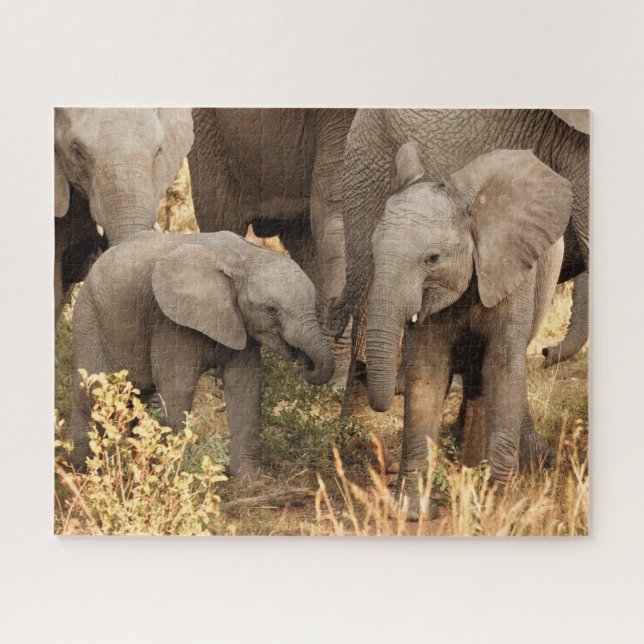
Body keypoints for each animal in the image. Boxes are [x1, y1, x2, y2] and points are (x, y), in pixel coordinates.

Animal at [68, 231, 334, 477]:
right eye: (271, 309)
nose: (305, 361)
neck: (243, 258)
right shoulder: (169, 320)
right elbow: (179, 388)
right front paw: (173, 473)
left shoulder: (240, 322)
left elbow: (245, 386)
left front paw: (249, 480)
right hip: (88, 319)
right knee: (93, 393)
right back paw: (84, 470)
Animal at [337, 143, 572, 496]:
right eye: (374, 255)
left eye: (432, 259)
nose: (364, 371)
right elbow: (426, 372)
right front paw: (409, 503)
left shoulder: (510, 271)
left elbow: (503, 365)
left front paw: (500, 500)